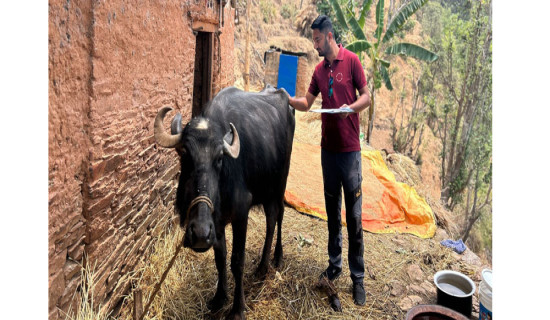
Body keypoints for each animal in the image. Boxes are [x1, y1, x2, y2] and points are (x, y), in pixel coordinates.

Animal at [153, 86, 296, 318]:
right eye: (185, 154)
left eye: (219, 158)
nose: (200, 234)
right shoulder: (216, 224)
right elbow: (220, 258)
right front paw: (220, 297)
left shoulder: (241, 216)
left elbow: (237, 261)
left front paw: (237, 308)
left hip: (279, 185)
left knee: (276, 219)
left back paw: (270, 262)